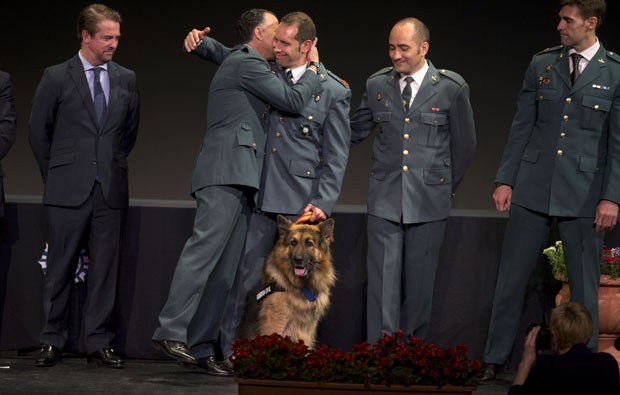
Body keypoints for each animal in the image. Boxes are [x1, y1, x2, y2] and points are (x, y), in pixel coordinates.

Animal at [235, 215, 336, 348]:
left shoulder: (307, 331)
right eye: (293, 242)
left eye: (309, 243)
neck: (299, 286)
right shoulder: (277, 324)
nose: (298, 260)